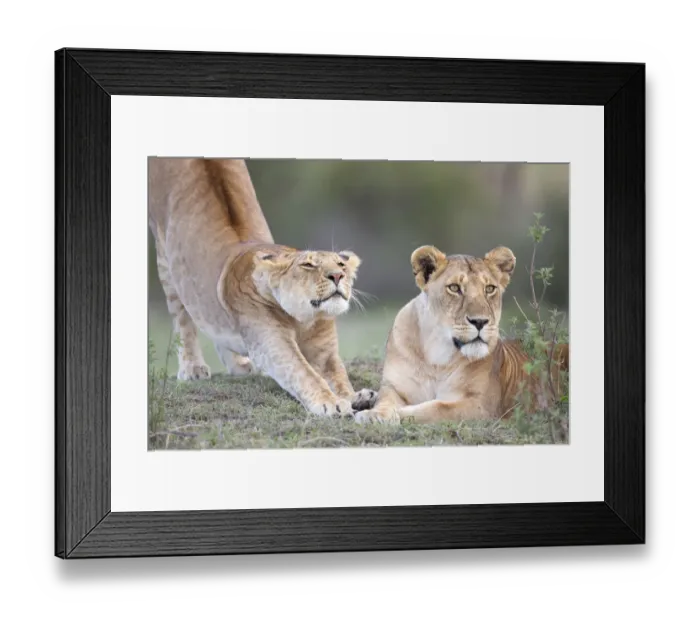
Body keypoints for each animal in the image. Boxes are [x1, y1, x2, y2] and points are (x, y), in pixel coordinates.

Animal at [148, 158, 377, 417]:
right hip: (164, 256)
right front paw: (331, 402)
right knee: (182, 316)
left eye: (341, 264)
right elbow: (304, 373)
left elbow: (338, 376)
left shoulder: (325, 351)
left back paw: (239, 366)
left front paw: (356, 397)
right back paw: (192, 368)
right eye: (308, 264)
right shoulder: (272, 343)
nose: (337, 275)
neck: (306, 318)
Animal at [355, 245, 568, 424]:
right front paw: (374, 414)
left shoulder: (482, 406)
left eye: (489, 289)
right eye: (454, 288)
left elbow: (437, 408)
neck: (436, 357)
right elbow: (386, 401)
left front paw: (395, 413)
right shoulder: (395, 388)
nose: (480, 322)